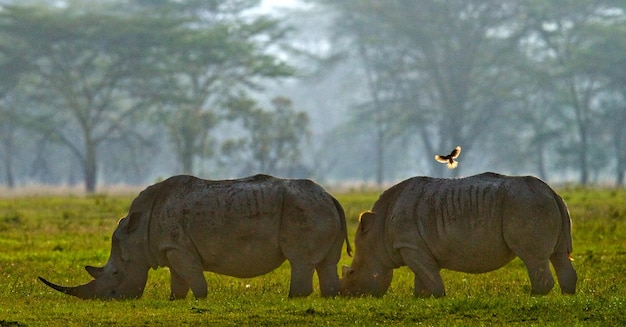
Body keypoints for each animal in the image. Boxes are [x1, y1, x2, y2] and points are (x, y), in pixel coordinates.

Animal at [39, 176, 352, 302]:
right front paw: (174, 300)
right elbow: (179, 280)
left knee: (300, 260)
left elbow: (193, 278)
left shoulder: (178, 248)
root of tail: (331, 196)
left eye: (115, 274)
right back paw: (329, 296)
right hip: (318, 208)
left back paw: (292, 298)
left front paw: (201, 299)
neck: (137, 233)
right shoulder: (171, 249)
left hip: (305, 209)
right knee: (326, 263)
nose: (108, 299)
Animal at [342, 173, 576, 298]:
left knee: (533, 257)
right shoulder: (416, 247)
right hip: (542, 203)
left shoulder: (409, 246)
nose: (345, 294)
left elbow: (429, 276)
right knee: (559, 255)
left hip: (526, 205)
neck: (377, 235)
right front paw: (421, 297)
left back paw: (533, 296)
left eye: (352, 273)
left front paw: (437, 296)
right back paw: (567, 294)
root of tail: (552, 191)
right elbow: (423, 275)